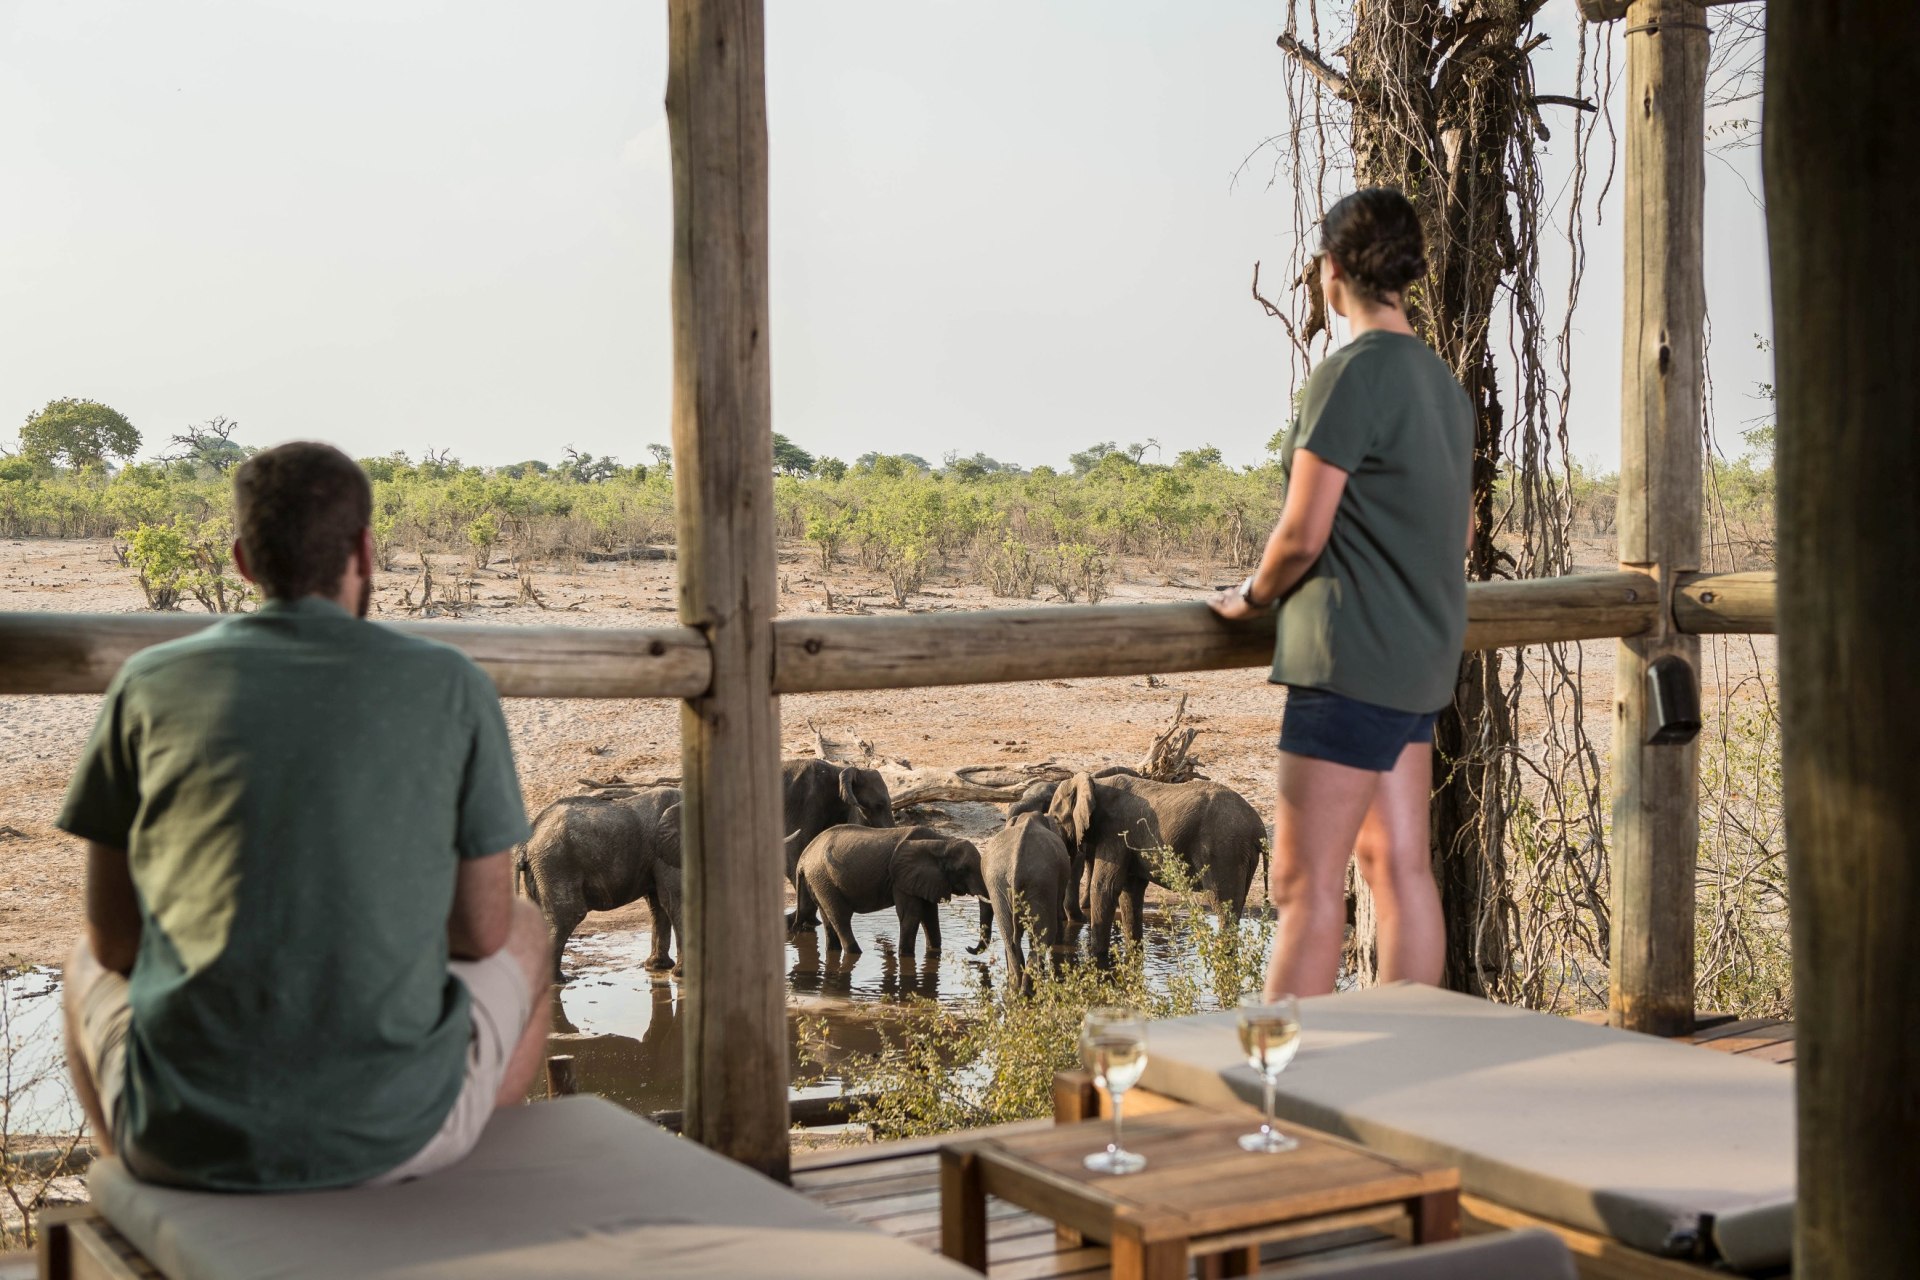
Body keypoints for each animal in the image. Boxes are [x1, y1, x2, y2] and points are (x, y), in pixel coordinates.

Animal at [518, 790, 683, 982]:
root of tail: (528, 841)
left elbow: (659, 904)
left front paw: (657, 967)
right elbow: (674, 901)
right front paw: (679, 976)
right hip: (555, 863)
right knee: (567, 915)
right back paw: (559, 980)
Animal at [791, 825, 990, 955]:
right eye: (963, 870)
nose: (968, 948)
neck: (943, 842)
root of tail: (803, 858)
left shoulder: (926, 879)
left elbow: (929, 915)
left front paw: (934, 953)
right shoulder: (901, 879)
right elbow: (911, 915)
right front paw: (906, 956)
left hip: (818, 881)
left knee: (827, 919)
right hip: (823, 878)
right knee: (840, 917)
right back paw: (855, 953)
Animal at [967, 817, 1075, 997]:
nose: (968, 947)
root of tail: (1016, 865)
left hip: (1006, 885)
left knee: (1011, 937)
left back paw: (1018, 989)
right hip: (1033, 884)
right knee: (1038, 936)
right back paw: (1025, 991)